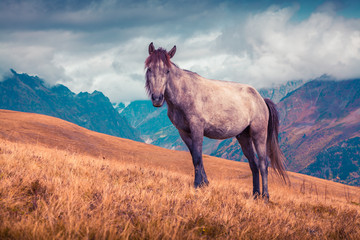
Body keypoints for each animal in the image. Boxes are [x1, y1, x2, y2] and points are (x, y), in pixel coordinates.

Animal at [143, 41, 286, 199]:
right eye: (149, 69)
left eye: (167, 71)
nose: (157, 98)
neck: (184, 93)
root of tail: (260, 99)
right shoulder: (184, 133)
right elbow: (195, 157)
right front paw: (205, 184)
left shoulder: (197, 128)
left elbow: (197, 158)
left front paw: (197, 185)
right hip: (244, 137)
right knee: (253, 164)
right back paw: (255, 194)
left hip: (258, 134)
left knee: (262, 163)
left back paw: (265, 196)